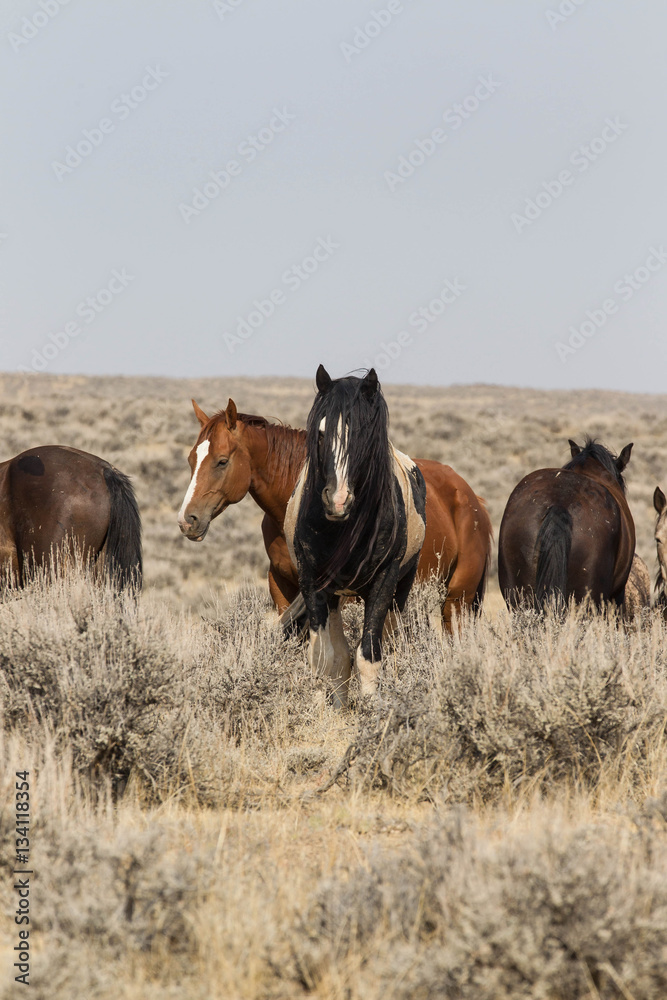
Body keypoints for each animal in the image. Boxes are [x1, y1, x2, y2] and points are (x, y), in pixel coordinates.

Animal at [177, 398, 492, 632]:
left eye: (222, 461)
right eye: (191, 459)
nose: (187, 520)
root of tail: (470, 496)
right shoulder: (282, 588)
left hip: (456, 601)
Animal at [283, 365, 426, 707]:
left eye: (362, 433)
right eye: (322, 433)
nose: (337, 500)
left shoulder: (384, 582)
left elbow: (369, 654)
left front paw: (373, 708)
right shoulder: (313, 583)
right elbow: (326, 657)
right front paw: (326, 709)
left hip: (400, 590)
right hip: (335, 597)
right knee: (338, 652)